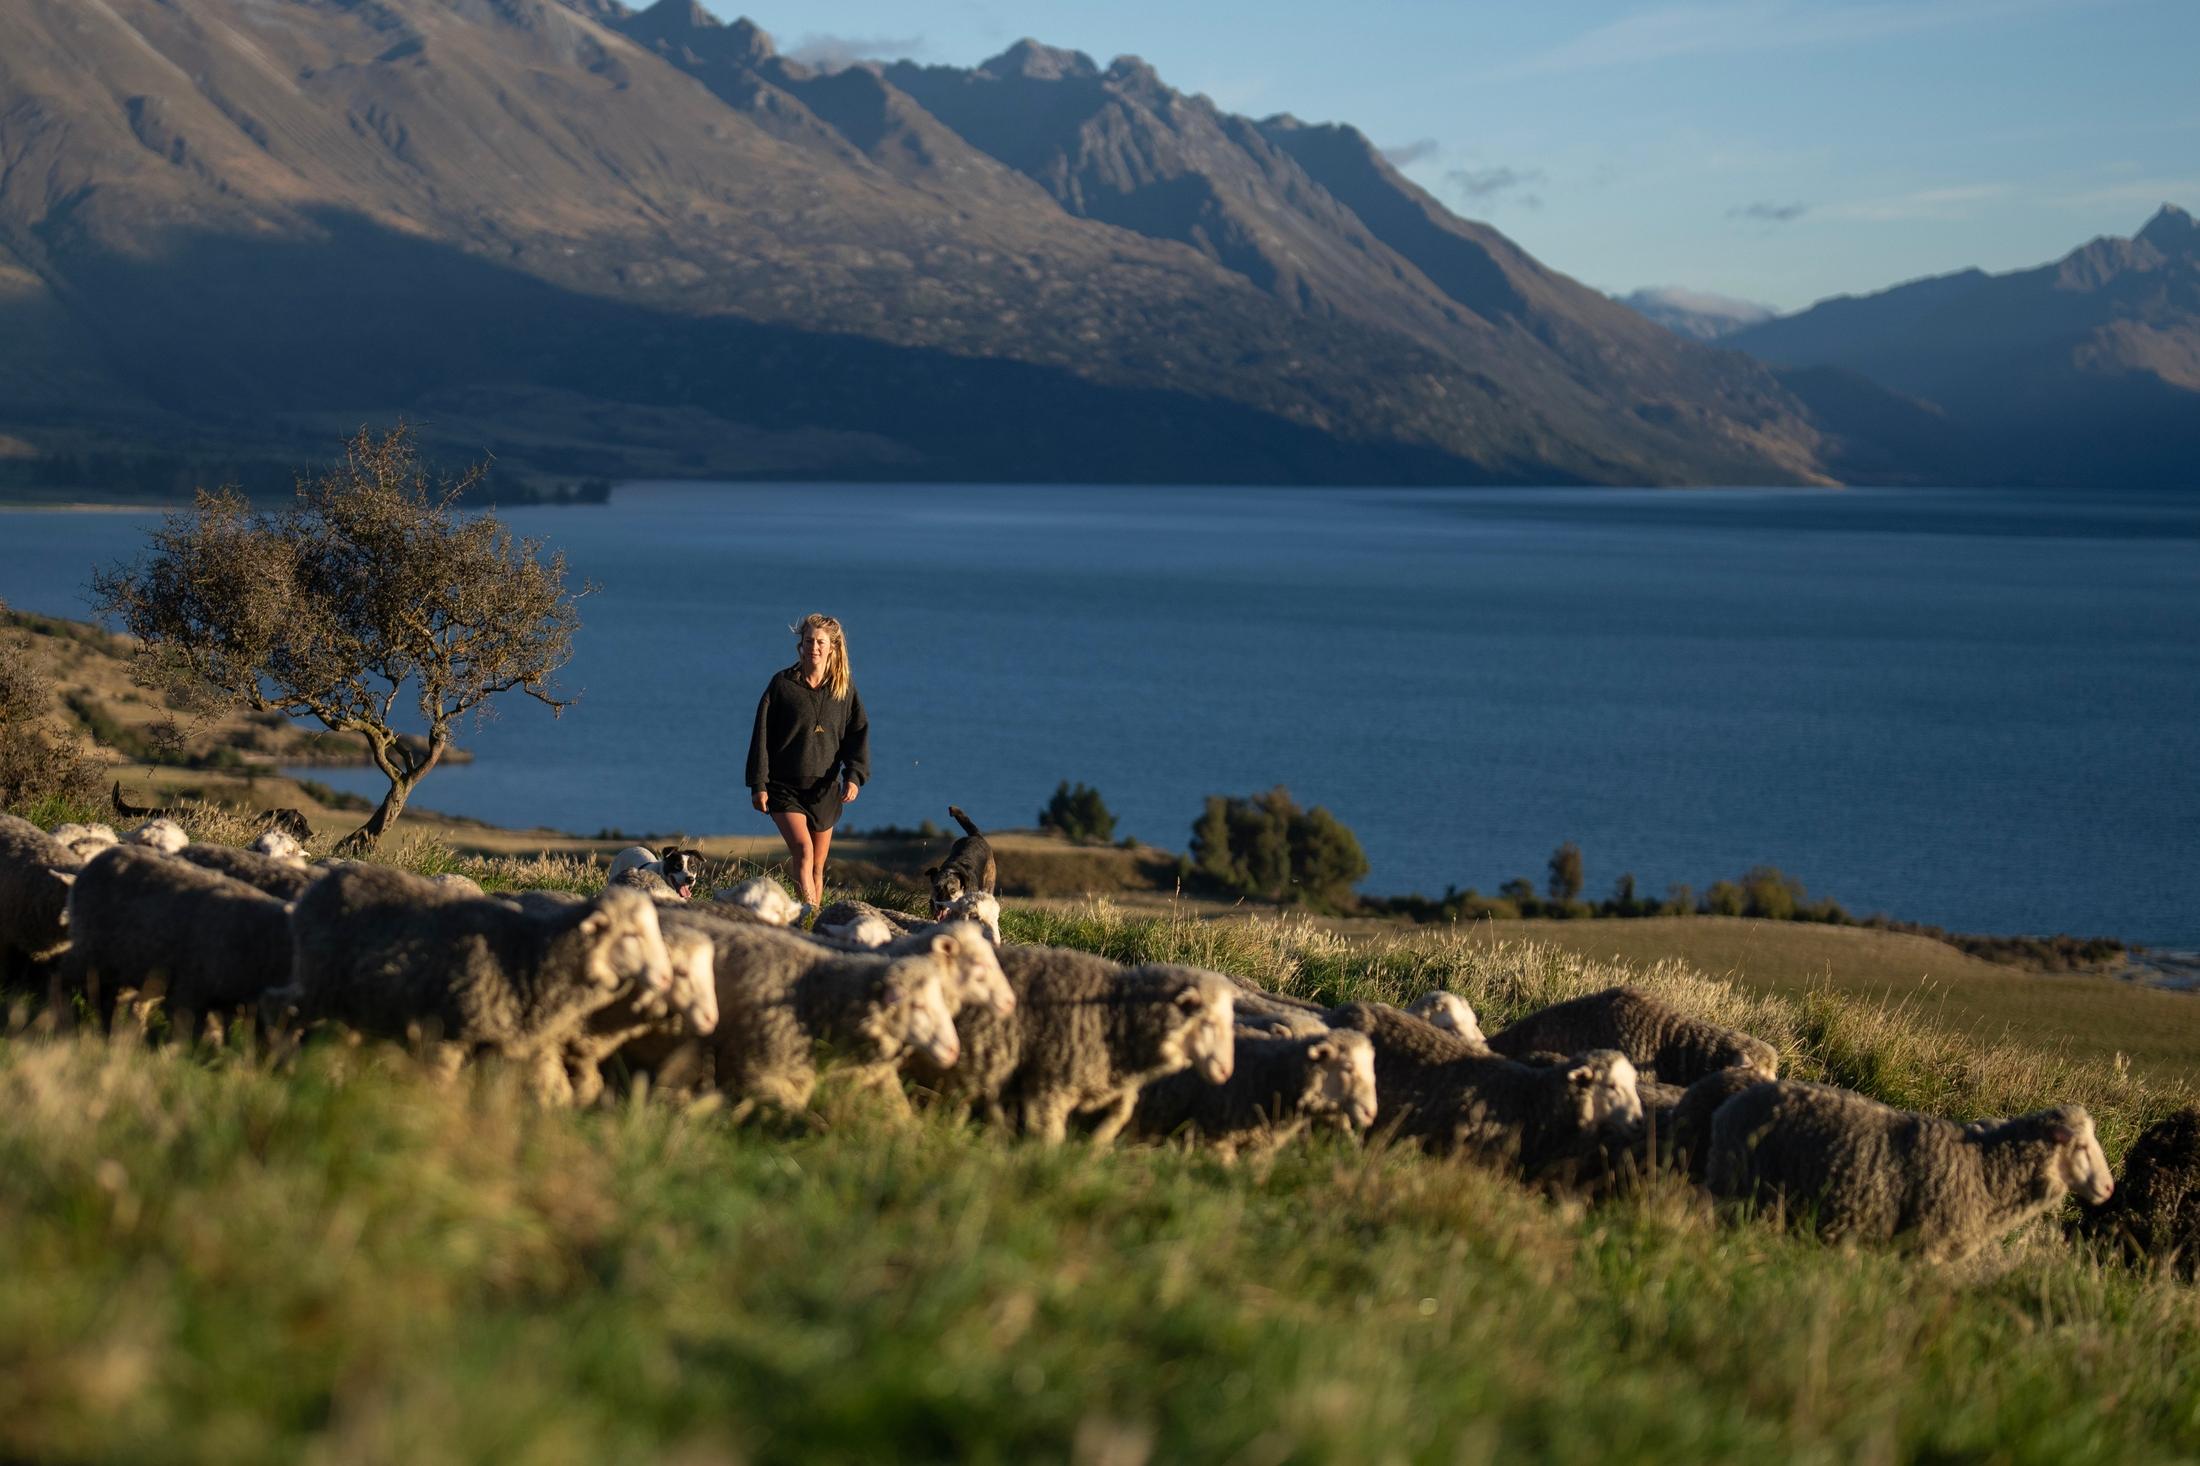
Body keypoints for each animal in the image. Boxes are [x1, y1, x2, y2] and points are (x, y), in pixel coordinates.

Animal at [60, 844, 291, 1039]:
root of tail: (108, 853)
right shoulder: (190, 993)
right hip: (91, 951)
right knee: (66, 980)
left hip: (121, 962)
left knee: (110, 1000)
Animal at [270, 863, 675, 1102]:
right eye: (631, 934)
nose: (667, 976)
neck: (530, 954)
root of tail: (330, 878)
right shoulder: (451, 1031)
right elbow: (442, 1082)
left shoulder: (503, 1044)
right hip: (318, 983)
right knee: (276, 1005)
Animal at [912, 948, 1236, 1145]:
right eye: (1208, 1022)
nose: (1225, 1072)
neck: (1115, 1013)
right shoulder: (1050, 1084)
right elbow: (1050, 1132)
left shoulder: (1111, 1081)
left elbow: (1121, 1114)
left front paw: (1096, 1146)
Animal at [1704, 1080, 2114, 1262]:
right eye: (2081, 1147)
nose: (2110, 1189)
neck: (1986, 1167)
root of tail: (1729, 1107)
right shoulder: (1924, 1247)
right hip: (1739, 1195)